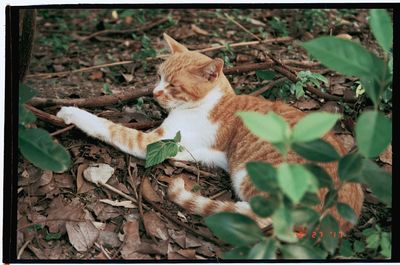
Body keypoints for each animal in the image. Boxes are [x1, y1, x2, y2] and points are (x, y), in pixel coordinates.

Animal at [57, 32, 364, 231]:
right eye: (158, 76)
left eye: (173, 86)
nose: (154, 93)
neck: (210, 102)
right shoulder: (187, 147)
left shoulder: (155, 141)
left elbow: (111, 128)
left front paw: (71, 112)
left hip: (252, 175)